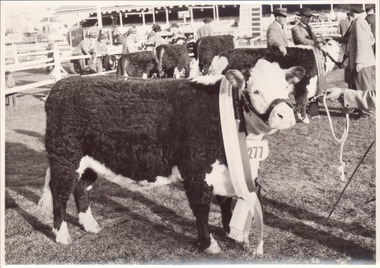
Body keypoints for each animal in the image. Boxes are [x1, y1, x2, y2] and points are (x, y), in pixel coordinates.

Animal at [38, 59, 306, 254]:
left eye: (286, 88)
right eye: (255, 91)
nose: (286, 116)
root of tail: (62, 86)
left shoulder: (225, 168)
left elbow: (225, 202)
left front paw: (231, 232)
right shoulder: (196, 169)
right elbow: (201, 206)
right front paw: (209, 244)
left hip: (90, 161)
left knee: (81, 188)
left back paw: (90, 225)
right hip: (65, 157)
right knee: (60, 193)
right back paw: (62, 235)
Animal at [208, 39, 344, 123]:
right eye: (334, 46)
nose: (345, 53)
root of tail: (219, 57)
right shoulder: (302, 86)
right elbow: (302, 102)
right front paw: (305, 119)